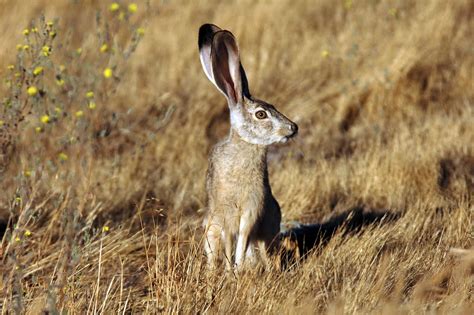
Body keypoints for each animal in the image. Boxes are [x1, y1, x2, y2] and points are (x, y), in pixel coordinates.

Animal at [198, 24, 298, 272]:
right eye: (261, 114)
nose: (293, 128)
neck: (245, 144)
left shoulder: (253, 208)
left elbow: (243, 238)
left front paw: (237, 267)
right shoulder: (225, 213)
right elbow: (229, 240)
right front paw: (230, 270)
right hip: (210, 229)